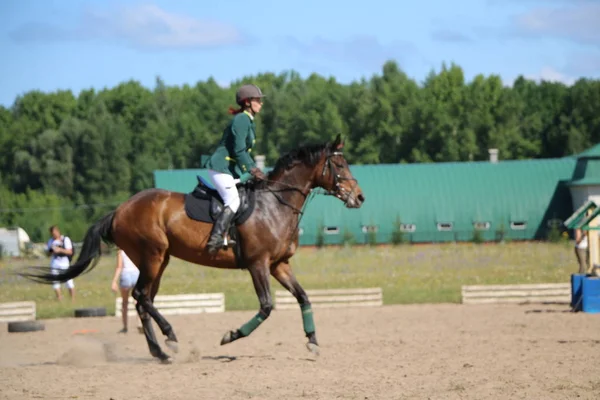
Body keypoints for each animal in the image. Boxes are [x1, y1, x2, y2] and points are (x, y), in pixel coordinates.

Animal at [21, 134, 364, 362]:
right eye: (339, 164)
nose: (359, 197)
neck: (276, 204)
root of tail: (119, 209)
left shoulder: (279, 265)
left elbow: (304, 297)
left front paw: (313, 342)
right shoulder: (258, 264)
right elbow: (266, 307)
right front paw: (230, 337)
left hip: (158, 261)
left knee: (142, 300)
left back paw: (159, 350)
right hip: (152, 255)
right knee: (142, 296)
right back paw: (170, 339)